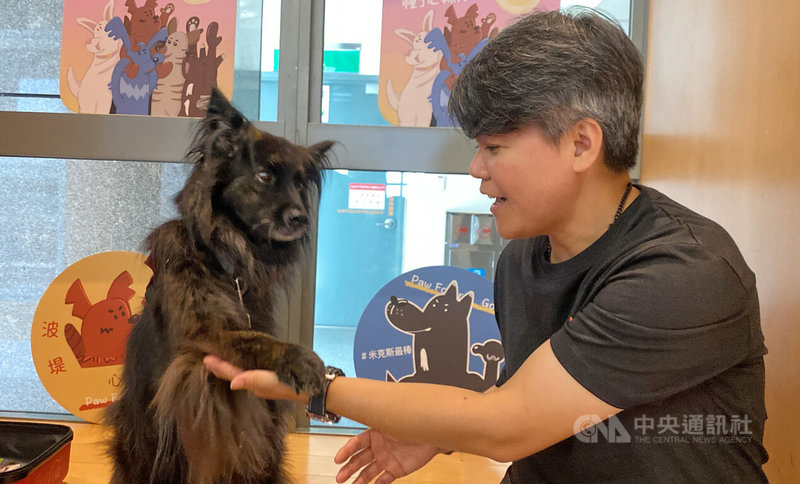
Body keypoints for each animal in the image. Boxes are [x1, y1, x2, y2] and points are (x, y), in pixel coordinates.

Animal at [106, 91, 332, 484]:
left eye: (300, 184)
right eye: (264, 176)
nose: (301, 218)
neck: (224, 257)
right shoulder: (205, 333)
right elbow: (255, 340)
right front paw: (301, 359)